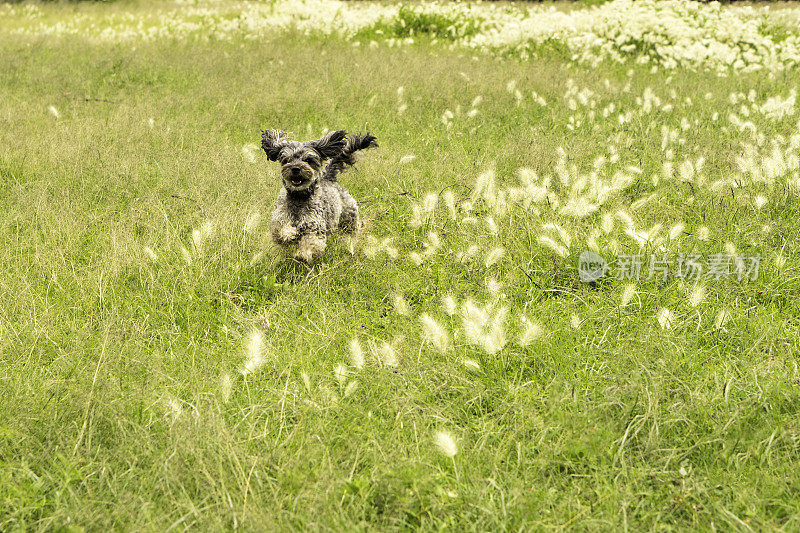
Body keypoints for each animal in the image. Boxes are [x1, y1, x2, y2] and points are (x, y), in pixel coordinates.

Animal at [260, 129, 378, 262]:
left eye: (308, 160)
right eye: (287, 160)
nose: (295, 168)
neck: (298, 198)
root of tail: (329, 177)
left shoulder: (315, 227)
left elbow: (312, 241)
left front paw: (303, 254)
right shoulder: (279, 218)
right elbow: (279, 229)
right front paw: (289, 233)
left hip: (349, 219)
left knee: (350, 235)